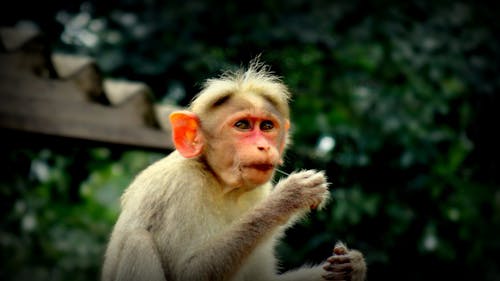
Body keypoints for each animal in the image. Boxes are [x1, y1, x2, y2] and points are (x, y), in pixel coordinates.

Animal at [101, 59, 368, 280]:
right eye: (242, 125)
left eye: (267, 126)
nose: (263, 146)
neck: (219, 182)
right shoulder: (181, 187)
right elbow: (187, 273)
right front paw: (288, 197)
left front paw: (351, 267)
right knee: (138, 241)